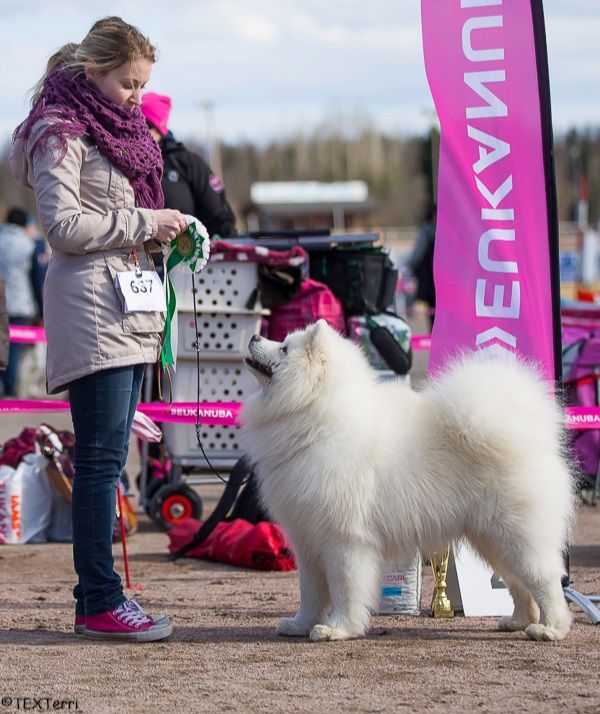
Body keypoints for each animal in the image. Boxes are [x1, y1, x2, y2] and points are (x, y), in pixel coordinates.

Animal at [241, 320, 576, 644]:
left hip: (516, 536)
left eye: (284, 348)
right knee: (517, 582)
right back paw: (518, 621)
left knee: (545, 580)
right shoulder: (308, 540)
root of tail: (530, 431)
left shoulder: (344, 540)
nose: (255, 336)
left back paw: (550, 629)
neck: (316, 416)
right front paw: (299, 625)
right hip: (492, 539)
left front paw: (337, 629)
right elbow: (310, 593)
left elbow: (345, 591)